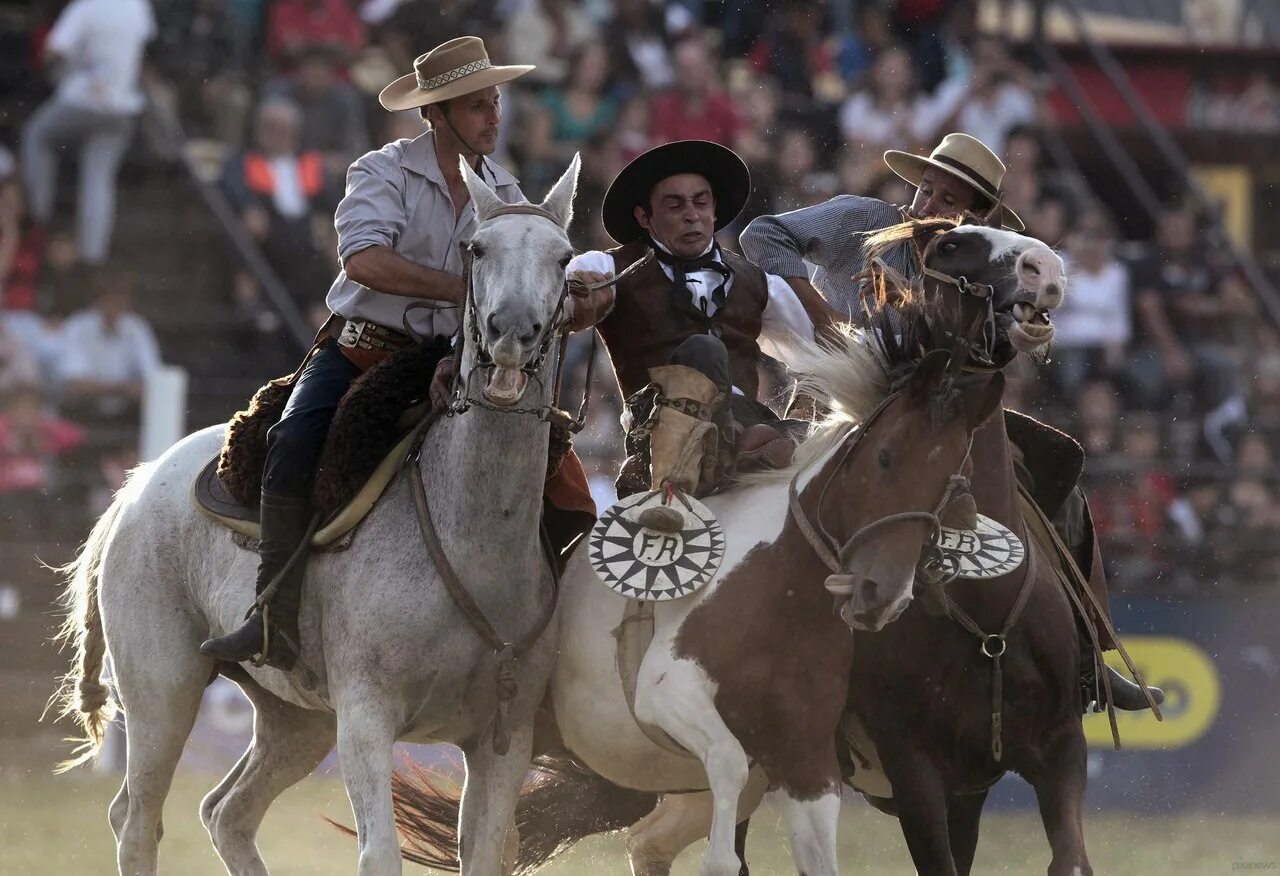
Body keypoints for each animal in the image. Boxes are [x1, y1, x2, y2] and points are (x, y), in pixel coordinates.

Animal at [55, 153, 583, 870]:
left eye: (564, 257)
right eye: (478, 248)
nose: (510, 335)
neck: (472, 538)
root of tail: (137, 486)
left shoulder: (505, 739)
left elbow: (482, 855)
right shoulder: (365, 717)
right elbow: (379, 853)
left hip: (296, 718)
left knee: (226, 812)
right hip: (162, 688)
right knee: (137, 819)